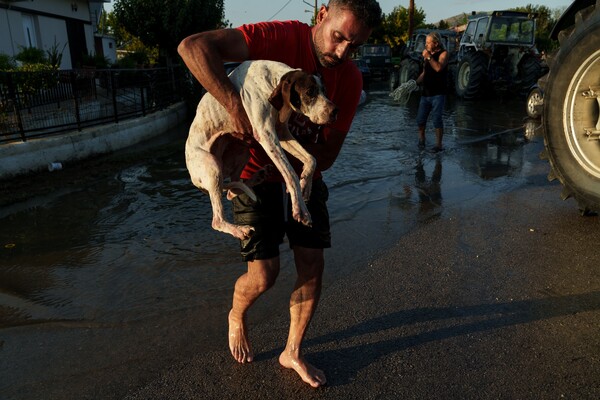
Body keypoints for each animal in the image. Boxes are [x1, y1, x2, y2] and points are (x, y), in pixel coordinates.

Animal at [185, 60, 340, 241]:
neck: (270, 81)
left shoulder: (281, 133)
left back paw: (258, 176)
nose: (335, 111)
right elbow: (291, 174)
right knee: (217, 220)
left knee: (233, 190)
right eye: (310, 92)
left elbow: (311, 159)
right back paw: (240, 230)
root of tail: (193, 177)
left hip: (242, 150)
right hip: (212, 166)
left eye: (324, 90)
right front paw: (300, 210)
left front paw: (305, 185)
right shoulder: (267, 135)